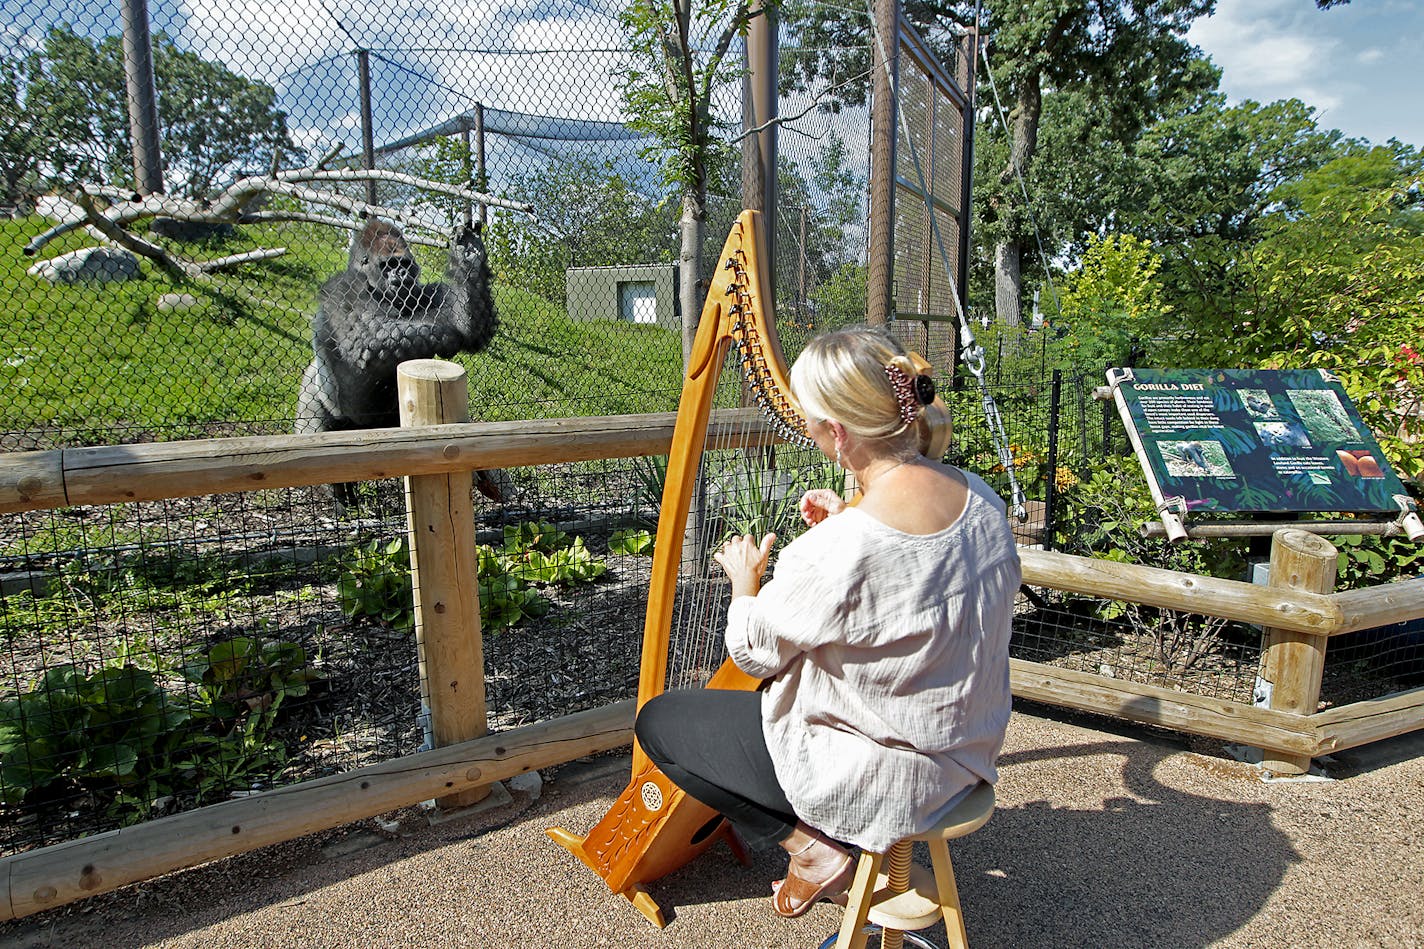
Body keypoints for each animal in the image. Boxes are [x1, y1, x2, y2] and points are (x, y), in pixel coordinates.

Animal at [291, 218, 504, 507]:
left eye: (403, 263)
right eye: (389, 265)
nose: (402, 275)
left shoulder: (423, 291)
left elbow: (469, 325)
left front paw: (468, 254)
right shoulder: (343, 286)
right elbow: (366, 337)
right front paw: (446, 335)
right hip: (316, 397)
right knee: (317, 436)